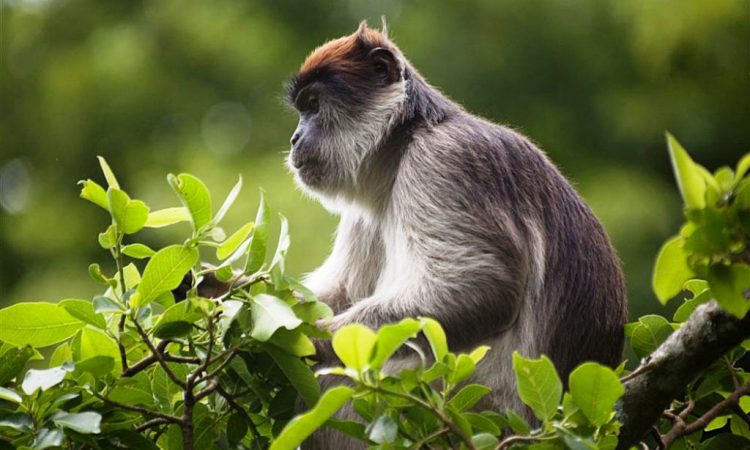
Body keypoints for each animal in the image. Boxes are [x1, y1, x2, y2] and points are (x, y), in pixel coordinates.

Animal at [283, 22, 628, 448]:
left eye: (314, 105)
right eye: (302, 109)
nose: (295, 138)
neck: (403, 142)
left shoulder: (444, 160)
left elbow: (483, 285)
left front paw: (304, 341)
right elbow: (343, 292)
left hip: (480, 407)